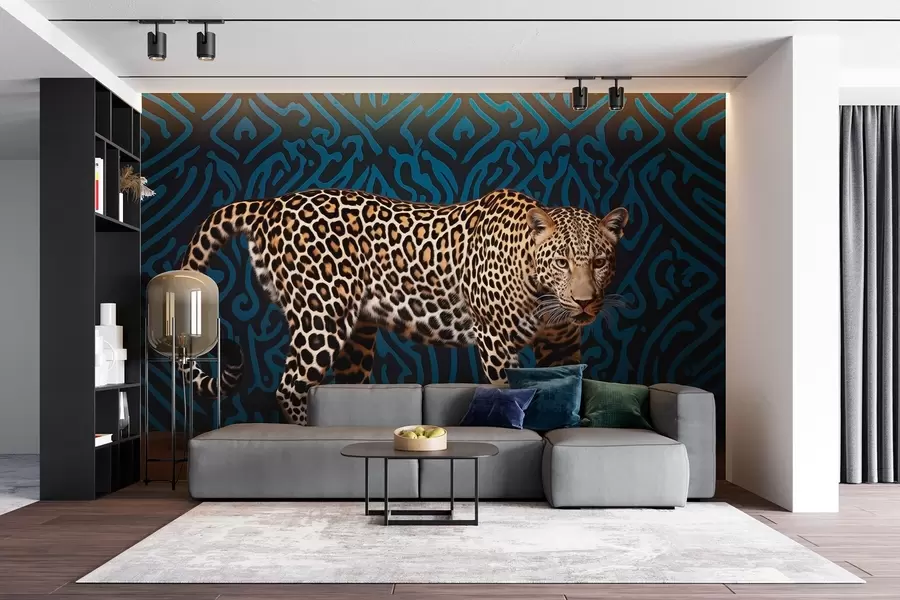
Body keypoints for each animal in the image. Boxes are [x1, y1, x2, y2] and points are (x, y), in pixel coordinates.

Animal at [181, 188, 628, 425]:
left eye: (599, 262)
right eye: (562, 262)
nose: (585, 303)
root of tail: (272, 203)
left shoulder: (561, 344)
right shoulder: (496, 343)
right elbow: (507, 390)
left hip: (356, 337)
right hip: (319, 317)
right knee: (290, 386)